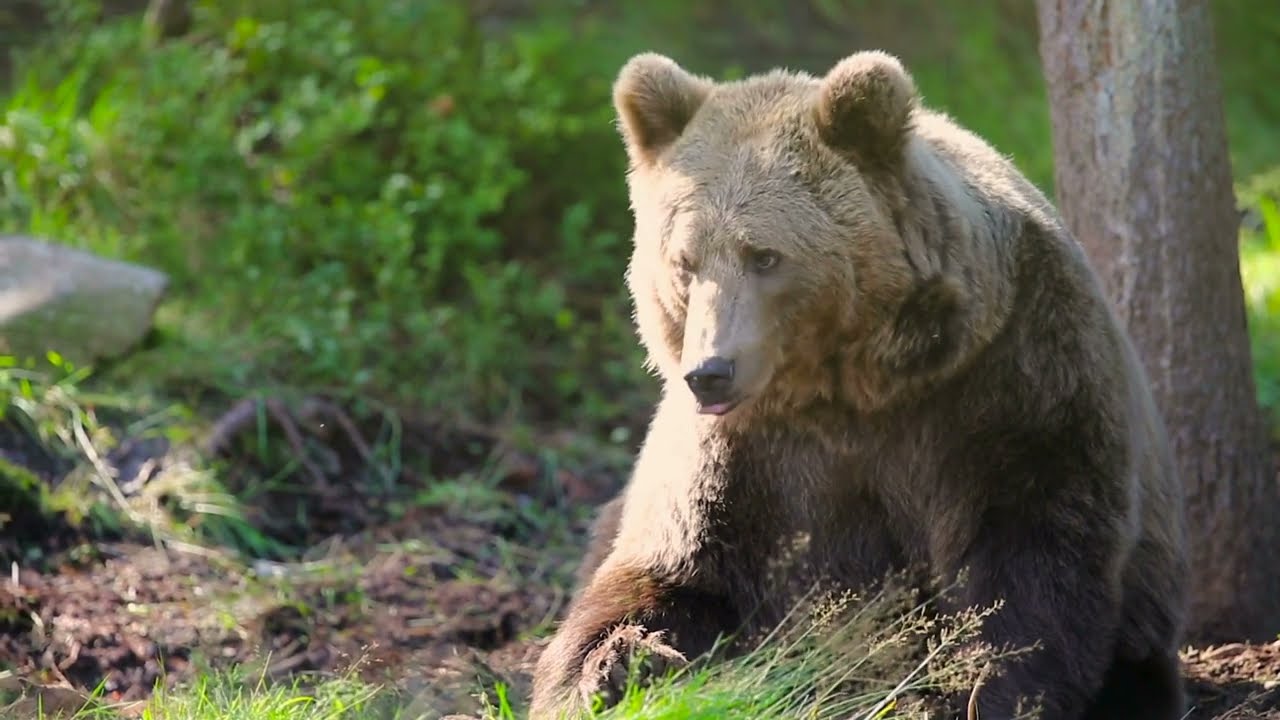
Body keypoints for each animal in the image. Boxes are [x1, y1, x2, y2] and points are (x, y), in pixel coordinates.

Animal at [528, 49, 1189, 720]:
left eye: (764, 256)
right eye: (685, 262)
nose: (709, 372)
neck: (849, 384)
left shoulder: (1013, 377)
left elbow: (1033, 554)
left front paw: (976, 688)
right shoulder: (740, 457)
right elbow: (667, 570)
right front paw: (616, 667)